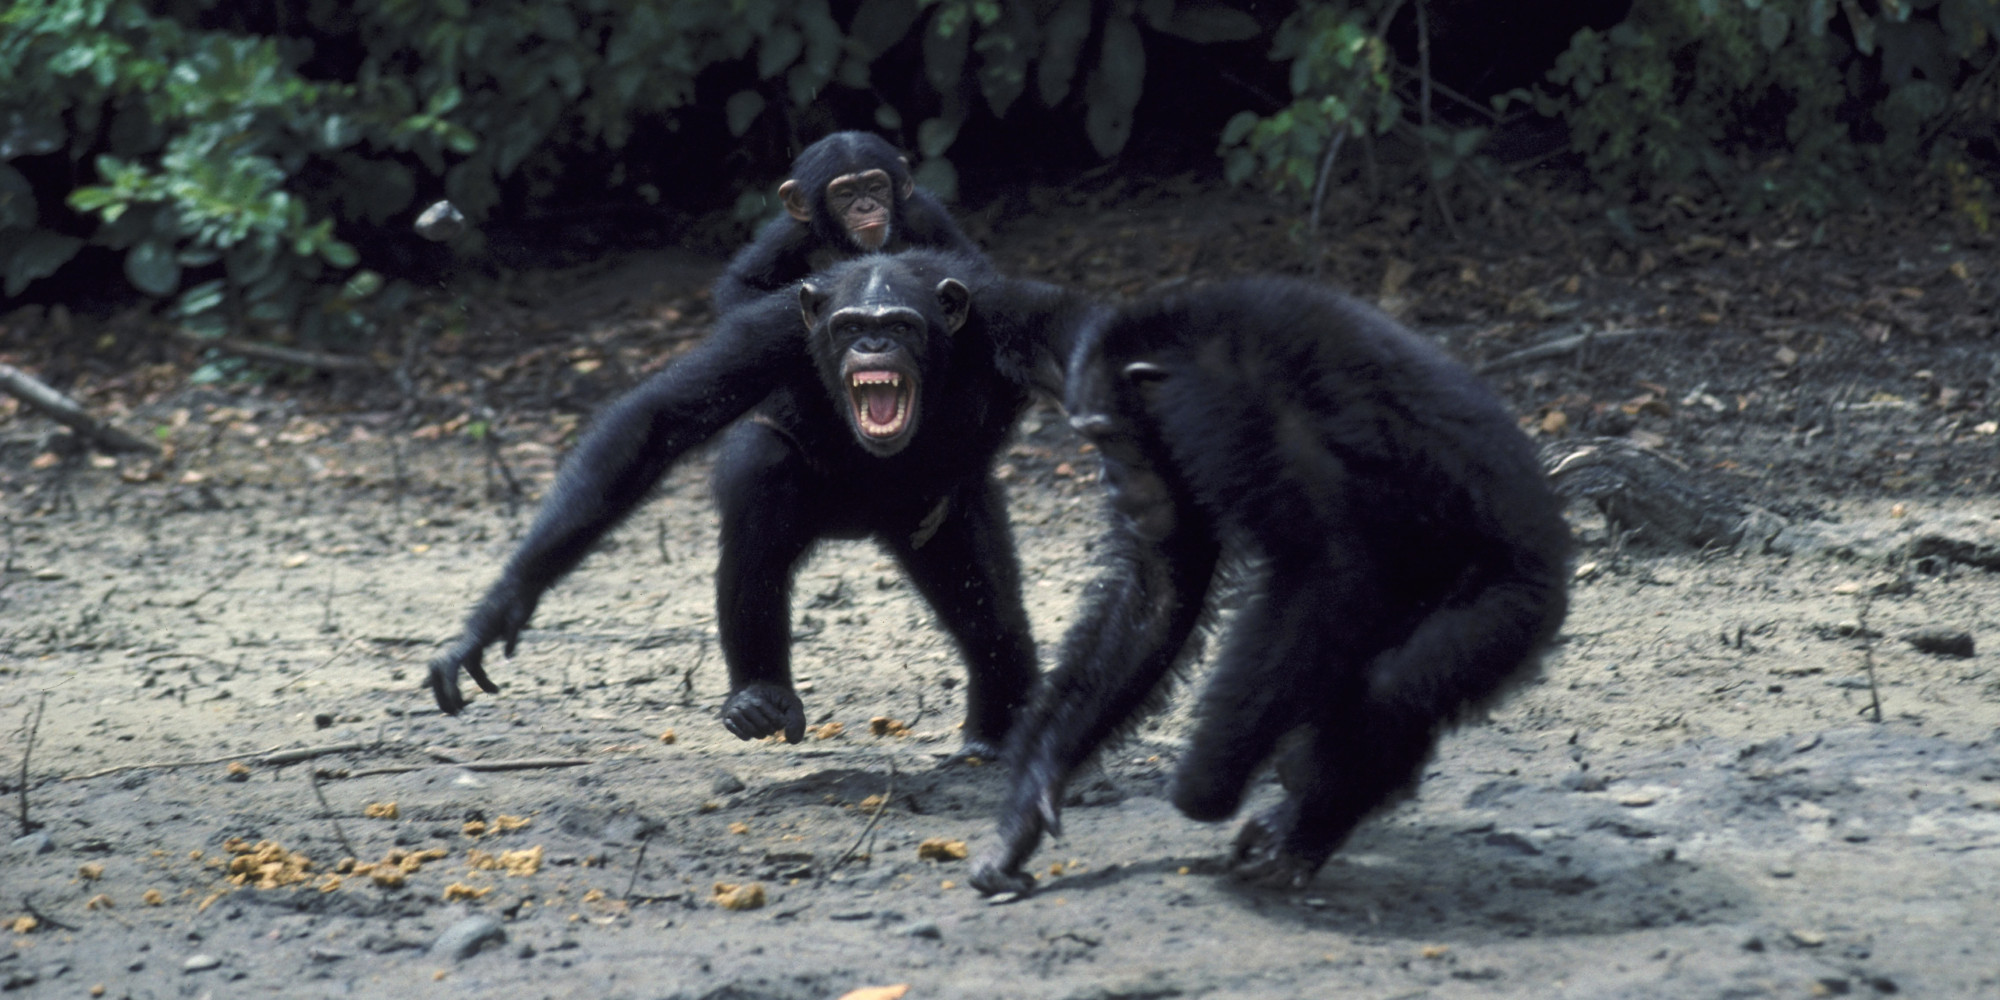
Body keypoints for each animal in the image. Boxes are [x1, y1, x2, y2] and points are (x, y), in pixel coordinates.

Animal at [426, 250, 1096, 756]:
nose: (873, 344)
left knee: (986, 607)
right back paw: (759, 695)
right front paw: (497, 612)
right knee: (762, 492)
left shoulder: (1014, 316)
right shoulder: (767, 333)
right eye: (850, 327)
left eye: (901, 326)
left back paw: (998, 734)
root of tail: (861, 527)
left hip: (942, 510)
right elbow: (655, 424)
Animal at [712, 131, 984, 314]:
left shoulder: (926, 216)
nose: (866, 207)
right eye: (845, 194)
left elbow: (970, 267)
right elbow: (745, 285)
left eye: (876, 187)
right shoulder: (785, 237)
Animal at [972, 278, 1576, 896]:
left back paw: (1298, 832)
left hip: (1512, 604)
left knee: (1396, 682)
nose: (1109, 478)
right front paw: (1032, 794)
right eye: (1090, 438)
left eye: (1109, 436)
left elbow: (1324, 564)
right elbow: (1160, 588)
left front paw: (1203, 788)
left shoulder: (1225, 409)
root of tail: (1560, 543)